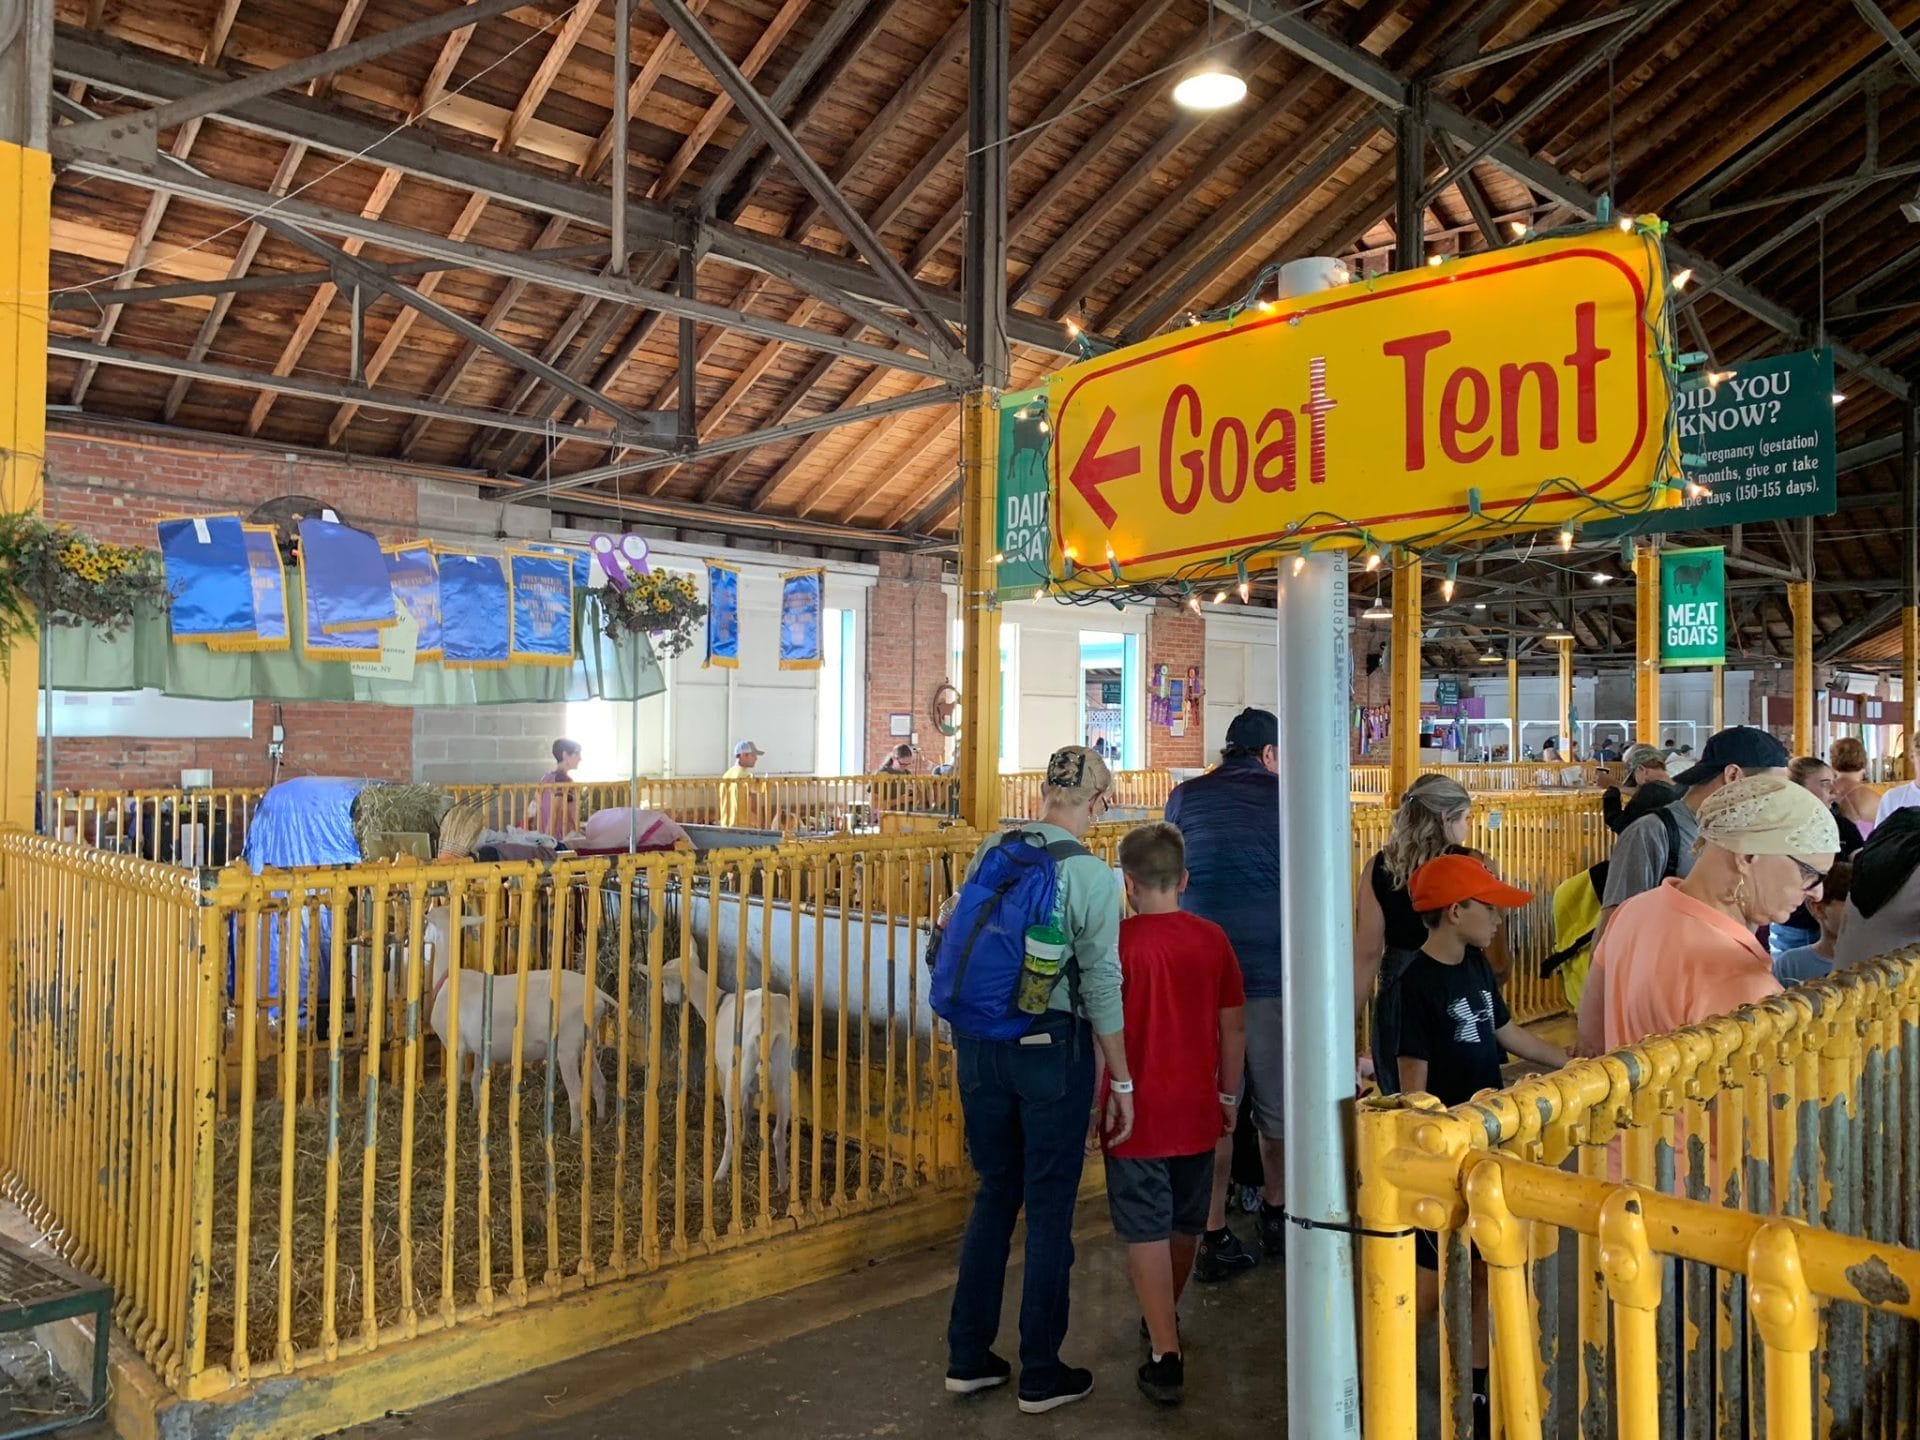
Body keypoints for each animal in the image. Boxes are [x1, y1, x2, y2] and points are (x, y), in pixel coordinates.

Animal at [424, 906, 610, 1136]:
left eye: (428, 920)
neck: (449, 979)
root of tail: (598, 994)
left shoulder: (456, 1045)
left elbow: (456, 1085)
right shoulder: (478, 1048)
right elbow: (476, 1082)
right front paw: (476, 1111)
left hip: (566, 1047)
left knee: (576, 1094)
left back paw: (573, 1132)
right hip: (587, 1043)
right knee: (600, 1084)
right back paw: (601, 1121)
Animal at [664, 952, 791, 1190]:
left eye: (665, 982)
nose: (666, 999)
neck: (716, 1004)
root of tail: (770, 1032)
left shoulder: (723, 1071)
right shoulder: (750, 1085)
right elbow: (748, 1109)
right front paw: (746, 1137)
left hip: (737, 1075)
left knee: (730, 1134)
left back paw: (720, 1174)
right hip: (782, 1079)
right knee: (778, 1134)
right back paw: (782, 1184)